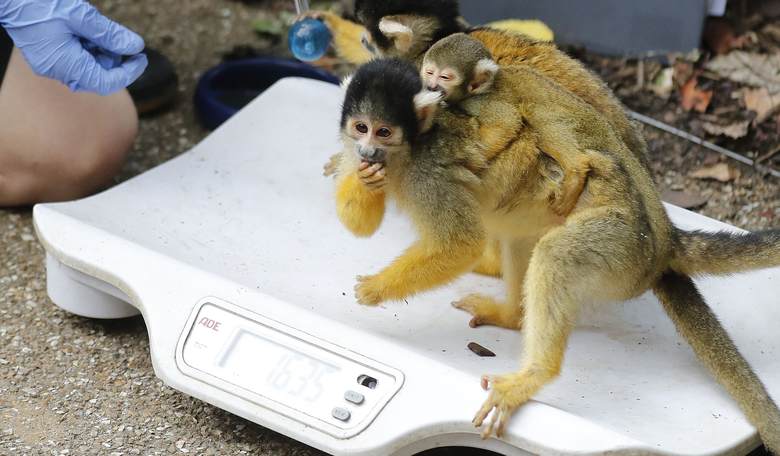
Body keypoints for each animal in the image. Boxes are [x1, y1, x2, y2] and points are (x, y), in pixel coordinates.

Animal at [334, 58, 780, 450]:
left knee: (556, 254)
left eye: (384, 132)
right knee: (521, 239)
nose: (368, 152)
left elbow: (461, 242)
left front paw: (374, 290)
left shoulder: (430, 175)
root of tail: (657, 241)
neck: (407, 153)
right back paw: (512, 316)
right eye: (361, 128)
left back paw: (533, 376)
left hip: (620, 244)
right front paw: (364, 178)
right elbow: (360, 226)